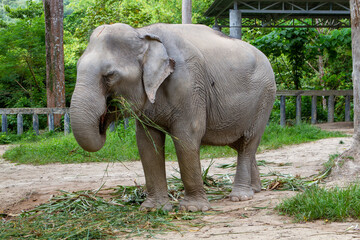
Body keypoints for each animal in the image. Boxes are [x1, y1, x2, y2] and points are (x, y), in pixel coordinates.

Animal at [69, 23, 276, 212]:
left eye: (110, 75)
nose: (104, 118)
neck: (143, 32)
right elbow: (147, 144)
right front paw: (153, 209)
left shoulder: (189, 85)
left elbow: (186, 138)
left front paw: (193, 209)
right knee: (239, 144)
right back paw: (255, 189)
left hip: (264, 99)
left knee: (248, 142)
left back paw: (240, 197)